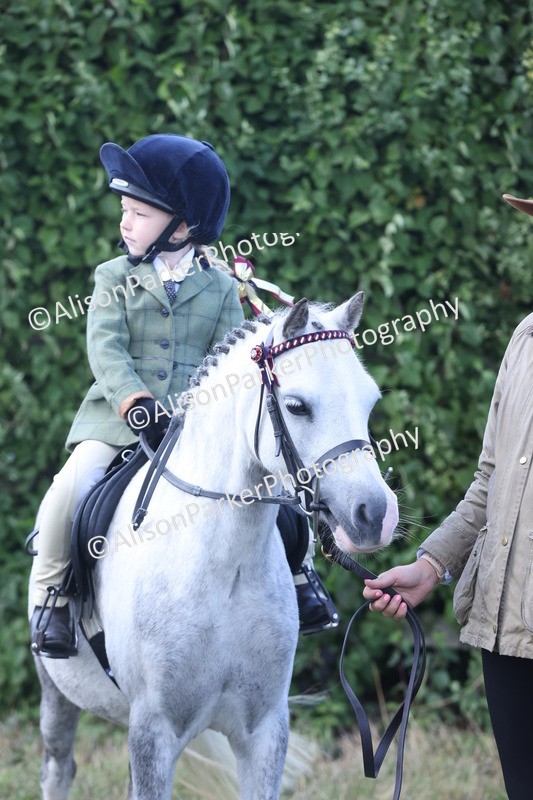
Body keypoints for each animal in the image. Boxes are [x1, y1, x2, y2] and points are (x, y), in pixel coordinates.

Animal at [28, 292, 399, 800]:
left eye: (370, 400)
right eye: (297, 406)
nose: (376, 515)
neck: (226, 567)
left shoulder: (265, 729)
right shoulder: (154, 730)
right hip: (56, 689)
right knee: (57, 767)